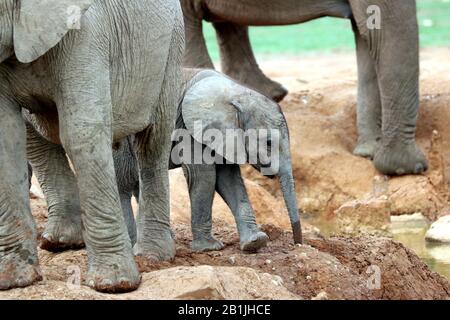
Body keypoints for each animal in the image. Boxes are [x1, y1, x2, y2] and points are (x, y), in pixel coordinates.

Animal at [0, 0, 183, 292]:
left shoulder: (85, 36)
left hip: (171, 46)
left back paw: (152, 254)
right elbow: (6, 139)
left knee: (154, 141)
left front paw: (114, 284)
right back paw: (59, 241)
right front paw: (14, 280)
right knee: (34, 135)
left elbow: (82, 132)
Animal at [29, 69, 302, 252]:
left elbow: (229, 180)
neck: (236, 92)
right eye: (268, 142)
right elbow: (204, 176)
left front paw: (256, 243)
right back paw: (133, 244)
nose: (298, 243)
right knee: (122, 184)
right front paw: (210, 248)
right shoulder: (188, 127)